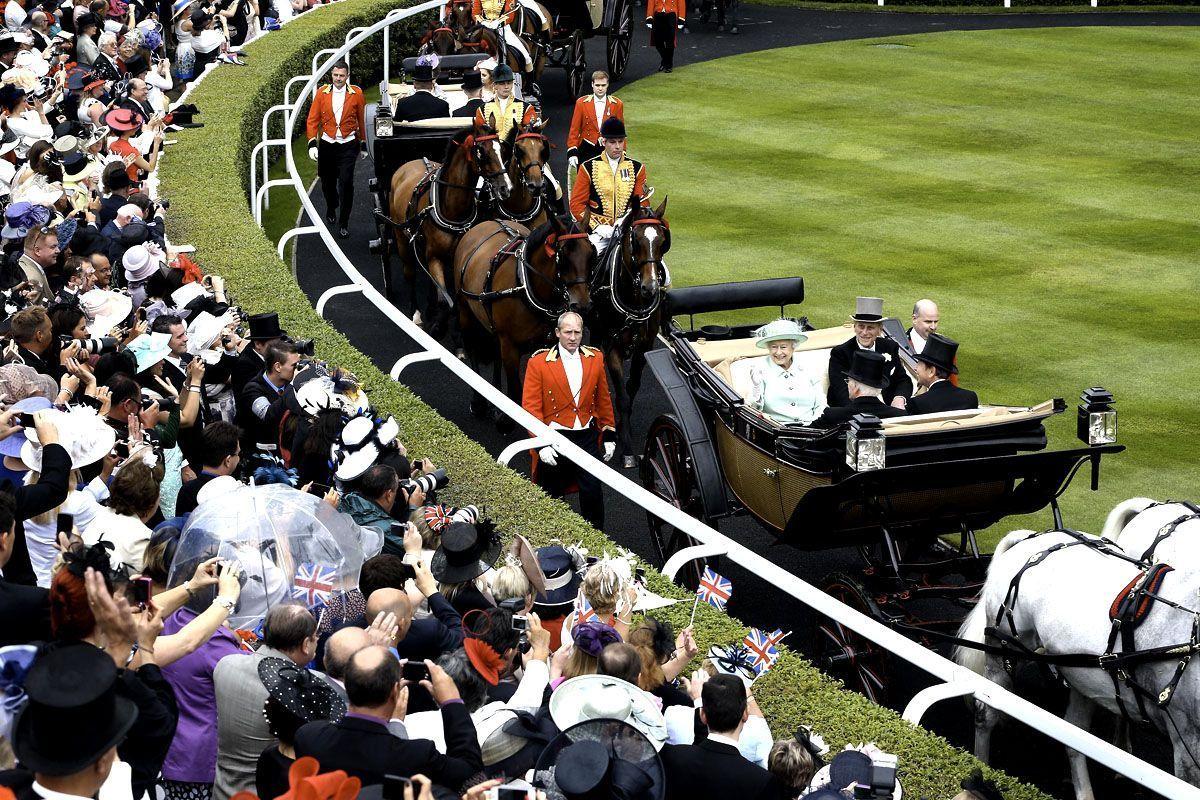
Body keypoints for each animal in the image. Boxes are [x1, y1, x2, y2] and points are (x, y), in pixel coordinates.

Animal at [388, 116, 511, 338]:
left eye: (501, 149)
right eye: (481, 151)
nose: (505, 188)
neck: (452, 210)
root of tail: (409, 163)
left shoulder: (456, 258)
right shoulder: (435, 257)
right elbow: (446, 301)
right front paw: (439, 326)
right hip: (401, 236)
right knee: (410, 273)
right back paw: (416, 313)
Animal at [453, 212, 595, 412]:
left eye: (591, 255)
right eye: (563, 257)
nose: (582, 306)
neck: (526, 286)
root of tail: (486, 222)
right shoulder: (510, 347)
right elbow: (515, 391)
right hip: (465, 312)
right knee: (472, 346)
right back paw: (478, 401)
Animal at [588, 196, 676, 465]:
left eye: (662, 240)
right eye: (635, 240)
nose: (650, 287)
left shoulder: (643, 348)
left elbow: (632, 387)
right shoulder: (612, 347)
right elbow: (623, 398)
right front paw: (626, 448)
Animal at [960, 527, 1200, 796]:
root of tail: (1031, 537)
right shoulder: (1187, 741)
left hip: (1082, 673)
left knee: (1075, 735)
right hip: (1001, 653)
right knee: (985, 713)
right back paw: (980, 767)